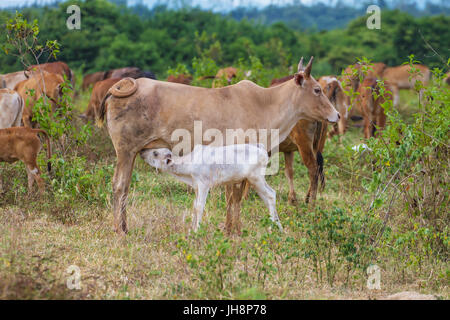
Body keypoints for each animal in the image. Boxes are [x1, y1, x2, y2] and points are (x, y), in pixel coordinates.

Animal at [96, 57, 340, 235]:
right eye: (317, 90)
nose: (336, 115)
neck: (265, 104)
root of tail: (125, 83)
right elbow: (235, 195)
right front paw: (234, 230)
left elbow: (233, 195)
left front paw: (231, 228)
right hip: (125, 151)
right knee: (120, 185)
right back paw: (120, 229)